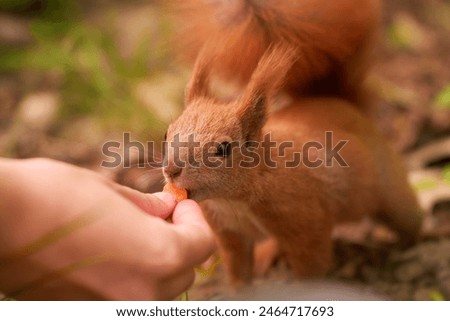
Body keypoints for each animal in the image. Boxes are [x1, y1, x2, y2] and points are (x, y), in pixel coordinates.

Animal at [162, 1, 422, 284]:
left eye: (222, 149)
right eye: (167, 134)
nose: (171, 170)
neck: (235, 200)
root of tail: (340, 104)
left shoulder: (305, 222)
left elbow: (311, 266)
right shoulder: (229, 233)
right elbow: (238, 270)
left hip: (392, 189)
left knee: (409, 219)